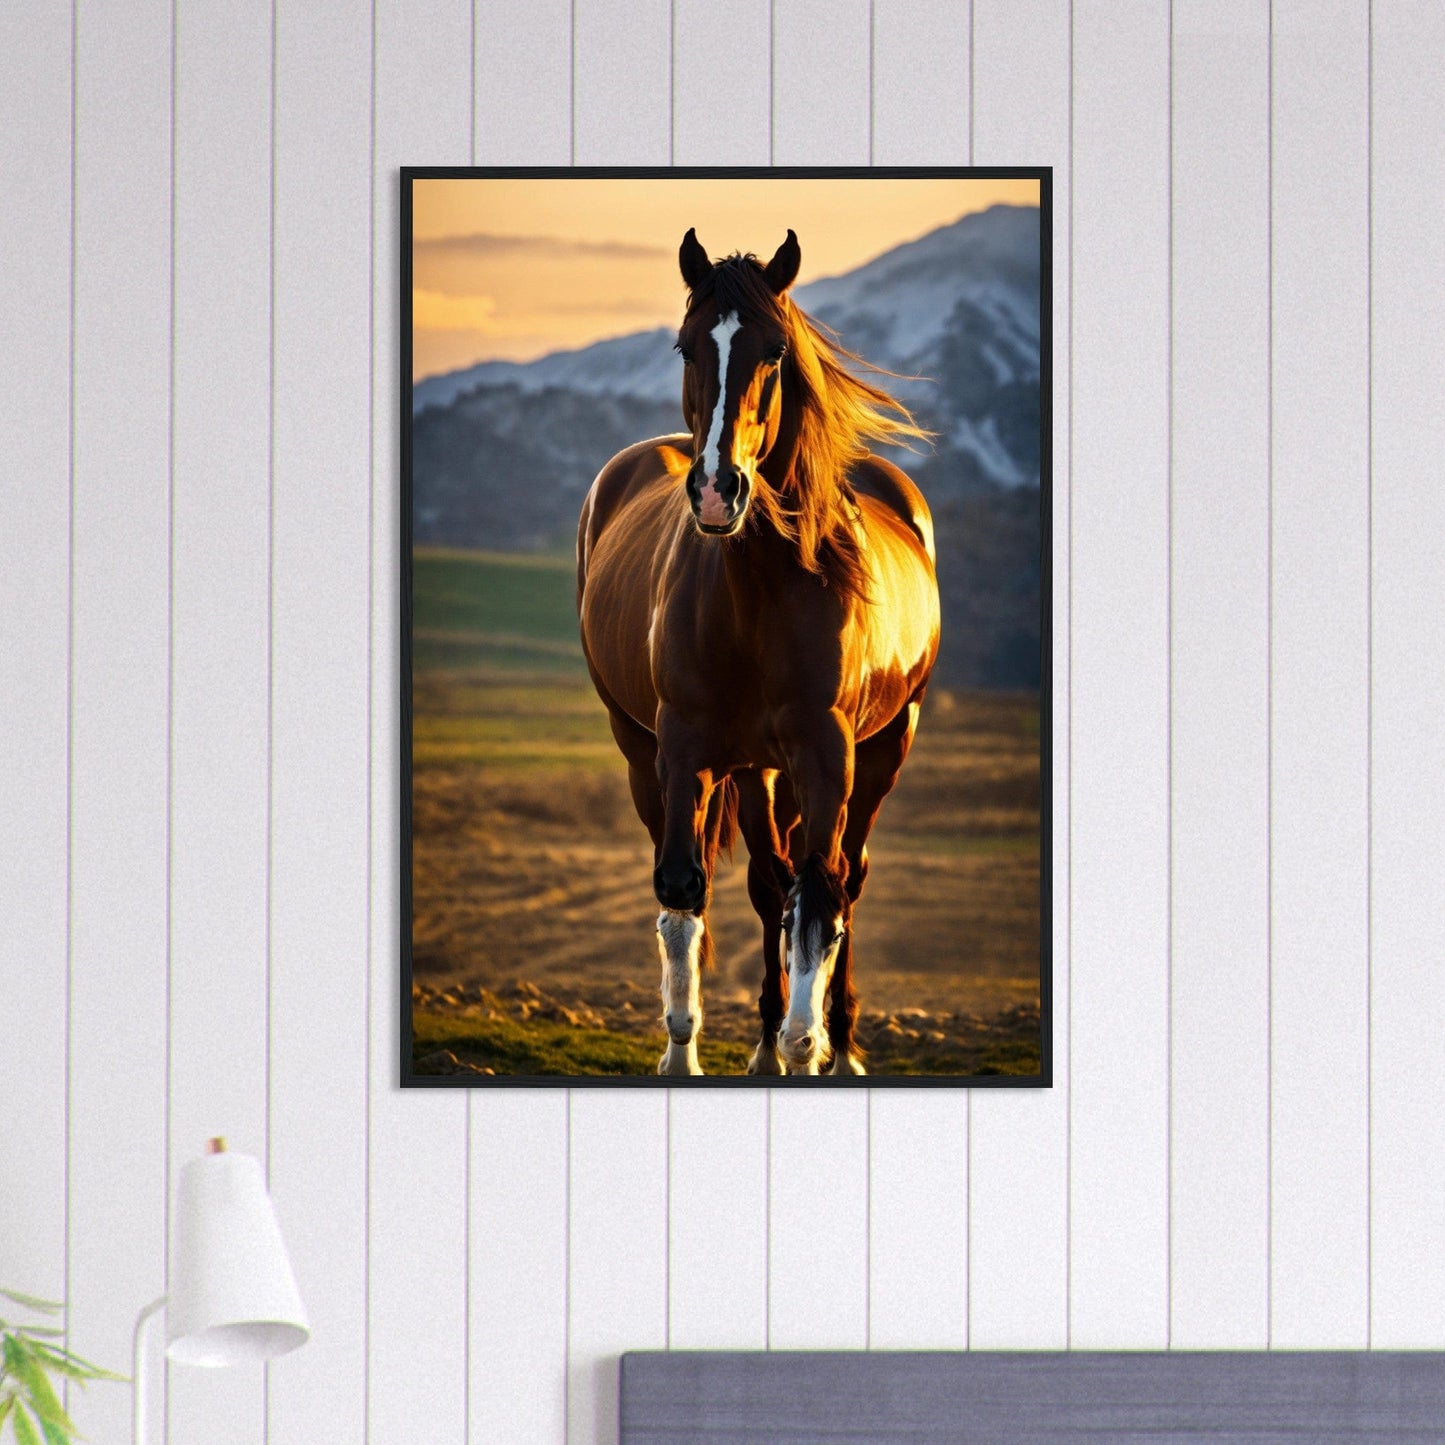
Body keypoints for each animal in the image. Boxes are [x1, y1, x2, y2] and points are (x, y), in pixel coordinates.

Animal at [576, 227, 941, 1076]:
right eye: (685, 344)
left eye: (774, 350)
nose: (717, 490)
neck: (762, 590)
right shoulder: (684, 749)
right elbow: (686, 889)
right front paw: (688, 1054)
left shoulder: (827, 752)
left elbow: (819, 895)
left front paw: (810, 1046)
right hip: (694, 758)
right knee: (765, 883)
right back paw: (767, 1043)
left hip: (882, 747)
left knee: (843, 879)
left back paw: (836, 1041)